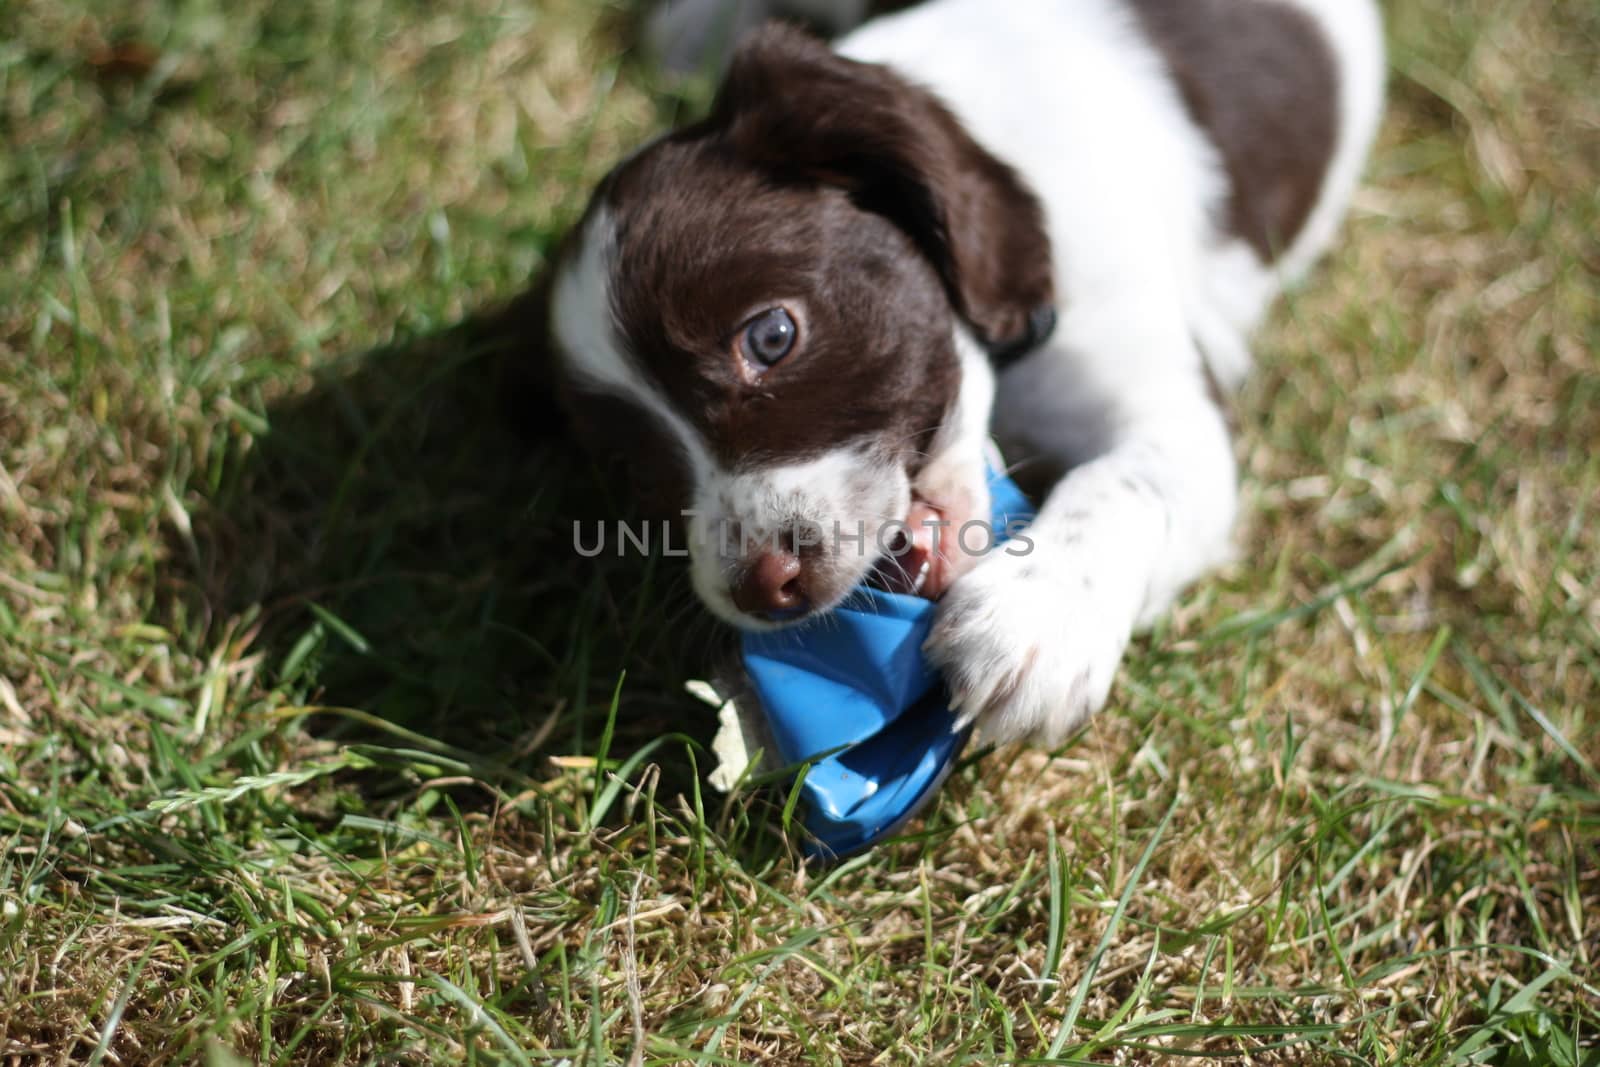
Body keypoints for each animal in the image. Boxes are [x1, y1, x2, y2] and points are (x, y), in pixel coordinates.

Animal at [540, 0, 1388, 748]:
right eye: (634, 472)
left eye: (772, 335)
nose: (761, 585)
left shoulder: (1168, 406)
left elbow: (1120, 483)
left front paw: (1034, 624)